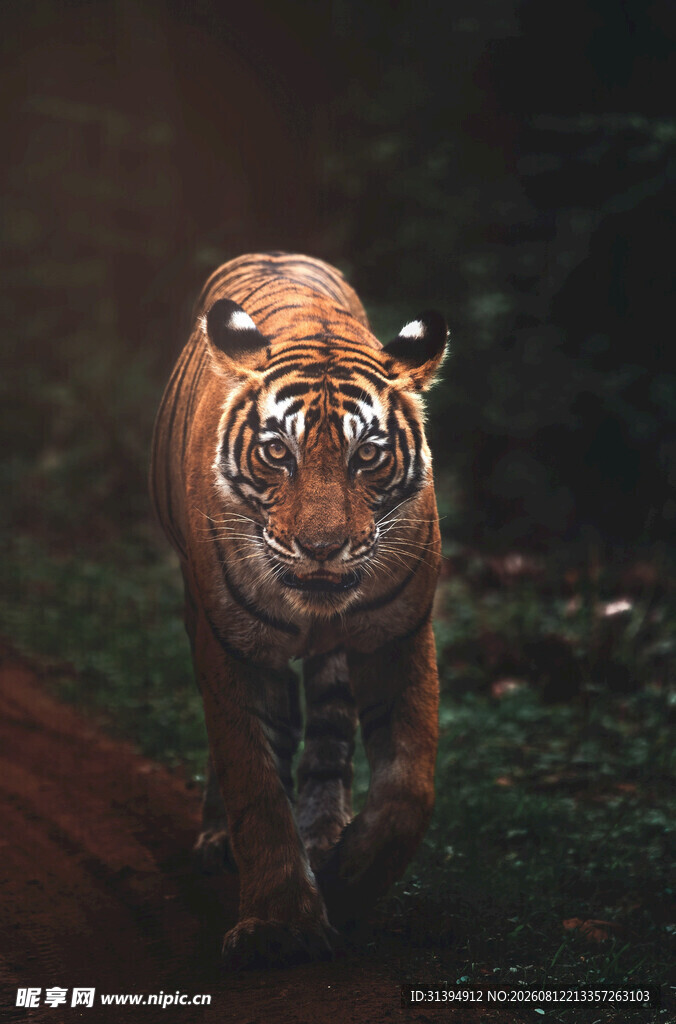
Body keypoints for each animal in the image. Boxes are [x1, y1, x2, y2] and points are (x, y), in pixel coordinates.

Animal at [150, 252, 447, 968]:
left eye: (367, 455)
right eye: (277, 452)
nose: (320, 548)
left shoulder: (398, 632)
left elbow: (408, 788)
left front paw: (346, 881)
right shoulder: (229, 642)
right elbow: (254, 777)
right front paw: (280, 925)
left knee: (331, 726)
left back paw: (322, 833)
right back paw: (220, 841)